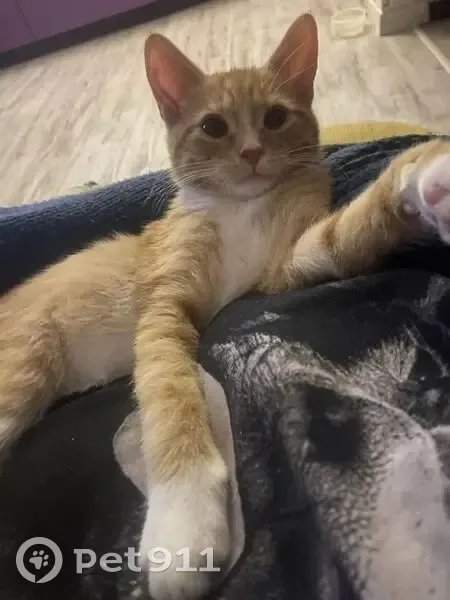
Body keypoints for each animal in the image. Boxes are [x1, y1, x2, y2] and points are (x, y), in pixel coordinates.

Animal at [1, 11, 450, 600]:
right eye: (213, 127)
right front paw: (186, 519)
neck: (244, 209)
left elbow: (345, 231)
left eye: (275, 117)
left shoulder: (282, 268)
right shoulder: (164, 308)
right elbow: (169, 391)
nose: (253, 153)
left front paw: (425, 177)